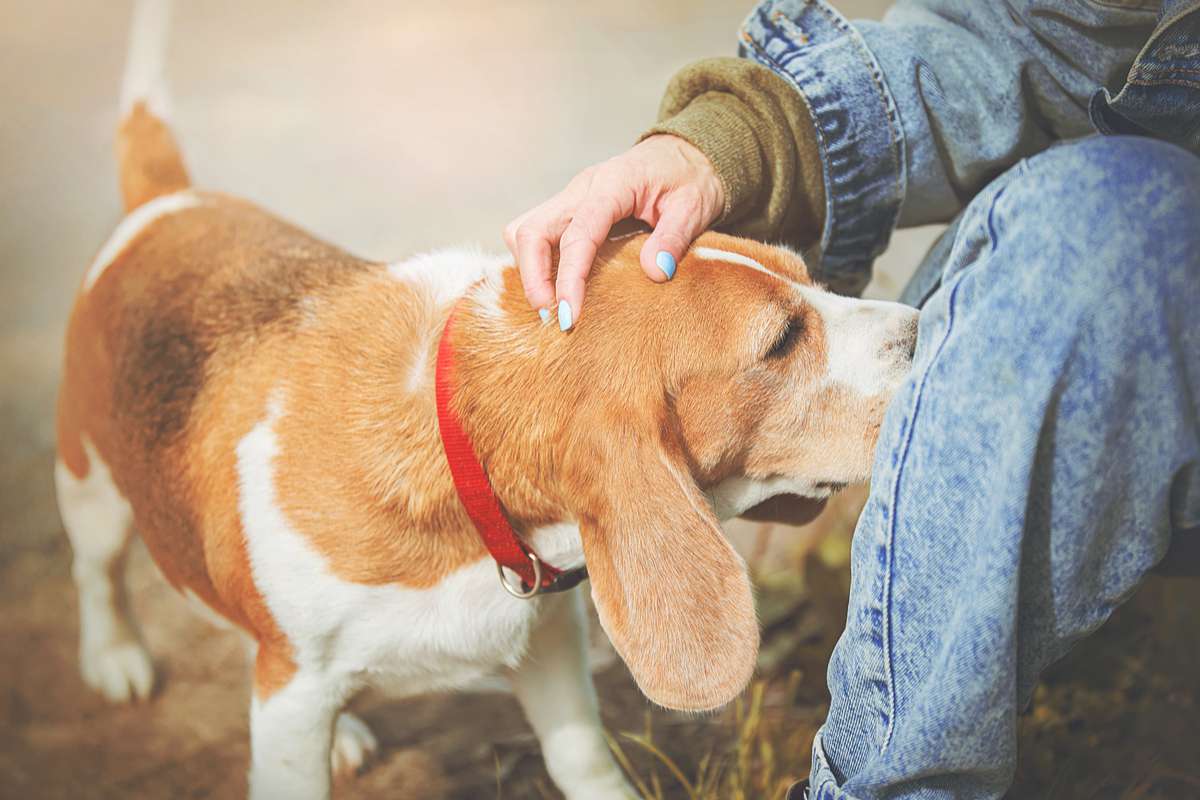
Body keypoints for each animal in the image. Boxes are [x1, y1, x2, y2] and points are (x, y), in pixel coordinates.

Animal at [54, 3, 916, 796]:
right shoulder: (295, 698)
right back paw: (114, 655)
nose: (928, 325)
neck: (456, 446)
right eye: (781, 340)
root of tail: (168, 202)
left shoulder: (551, 640)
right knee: (98, 576)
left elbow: (581, 758)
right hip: (90, 489)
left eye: (807, 274)